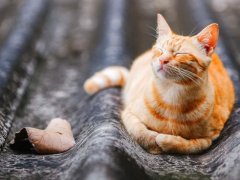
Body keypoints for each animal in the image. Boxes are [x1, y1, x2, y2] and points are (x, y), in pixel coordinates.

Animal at [83, 14, 234, 155]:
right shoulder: (129, 113)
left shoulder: (210, 138)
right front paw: (154, 143)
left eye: (180, 53)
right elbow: (140, 132)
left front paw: (166, 140)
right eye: (160, 50)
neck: (172, 96)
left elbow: (189, 145)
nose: (162, 60)